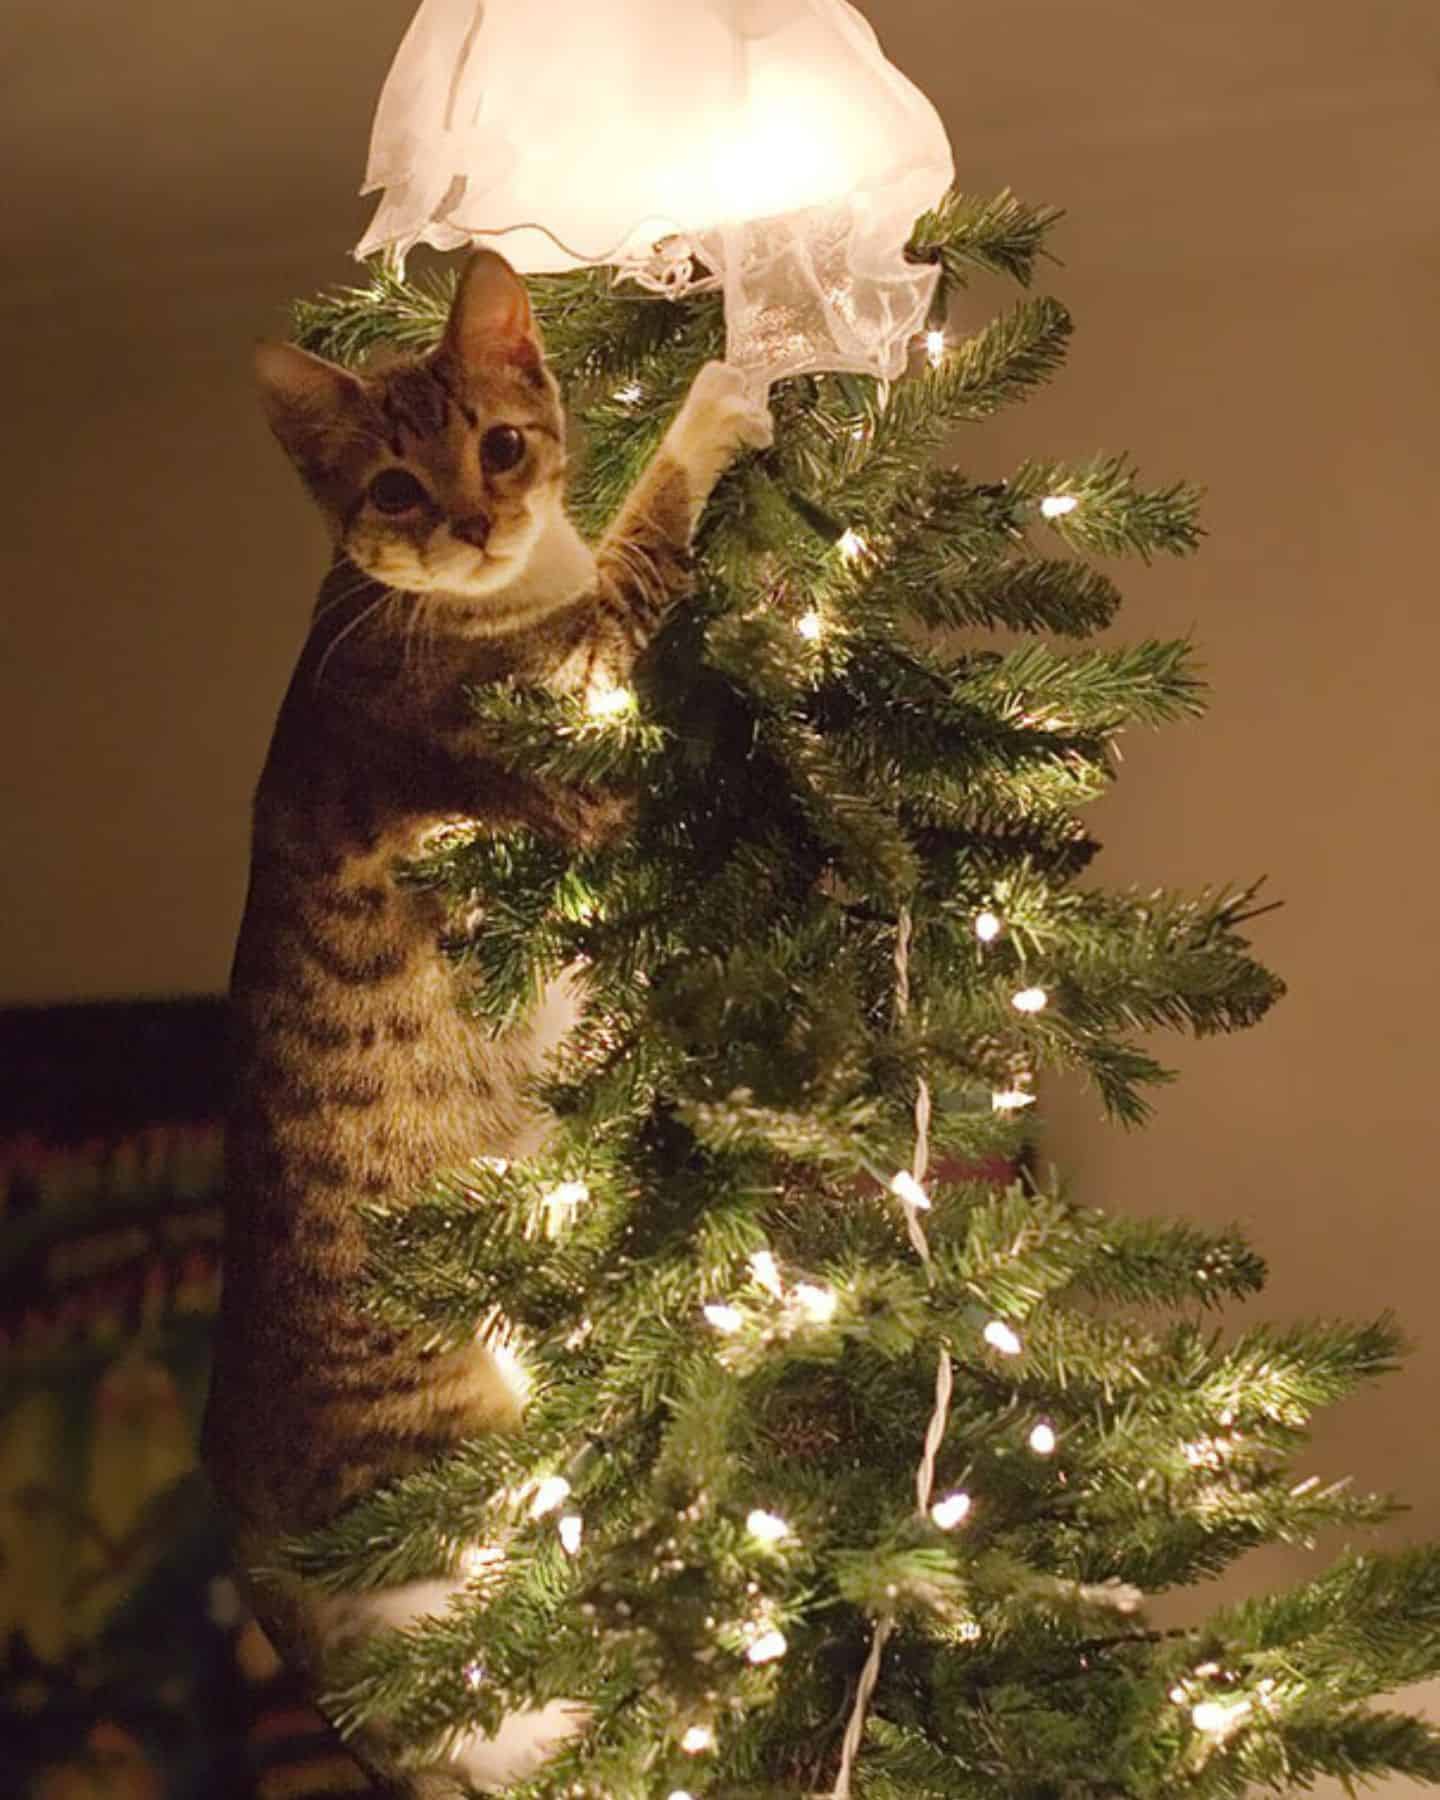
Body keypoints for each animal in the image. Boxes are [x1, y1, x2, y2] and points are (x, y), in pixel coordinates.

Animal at [199, 243, 777, 1800]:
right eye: (395, 489)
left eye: (502, 445)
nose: (471, 521)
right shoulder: (556, 707)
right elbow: (647, 539)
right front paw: (721, 393)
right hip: (456, 1481)